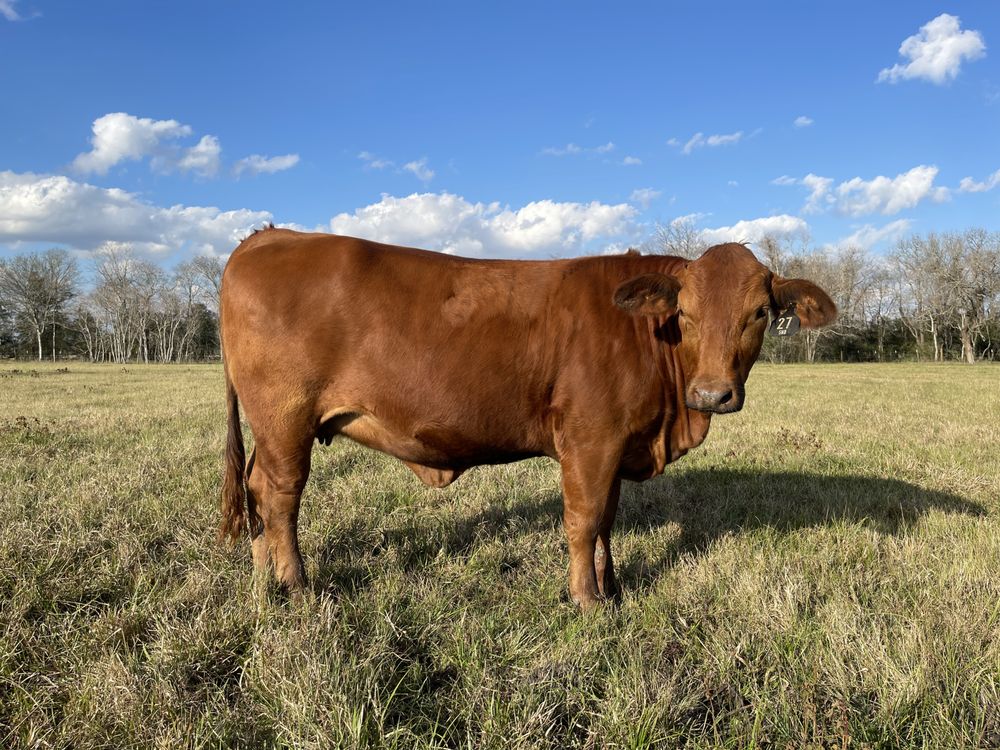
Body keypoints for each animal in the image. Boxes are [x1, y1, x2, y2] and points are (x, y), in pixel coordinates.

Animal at [219, 228, 836, 609]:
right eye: (684, 312)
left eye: (760, 313)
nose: (712, 393)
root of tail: (270, 234)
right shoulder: (591, 439)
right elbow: (584, 520)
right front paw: (587, 601)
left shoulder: (617, 445)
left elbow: (607, 520)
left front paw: (612, 588)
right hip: (285, 419)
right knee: (280, 496)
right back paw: (297, 586)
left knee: (256, 488)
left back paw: (264, 577)